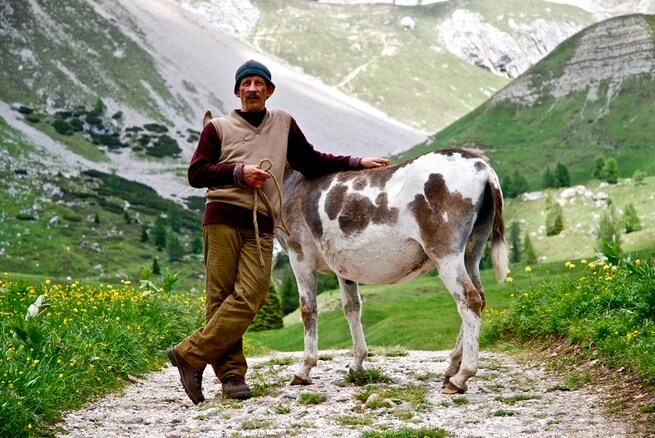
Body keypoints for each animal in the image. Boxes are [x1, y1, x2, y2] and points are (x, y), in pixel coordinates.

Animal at [274, 149, 510, 396]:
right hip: (471, 253)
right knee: (479, 300)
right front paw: (357, 364)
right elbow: (352, 309)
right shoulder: (343, 268)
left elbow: (308, 310)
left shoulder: (299, 257)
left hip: (446, 255)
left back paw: (461, 377)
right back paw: (451, 369)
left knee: (469, 301)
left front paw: (304, 369)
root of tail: (482, 167)